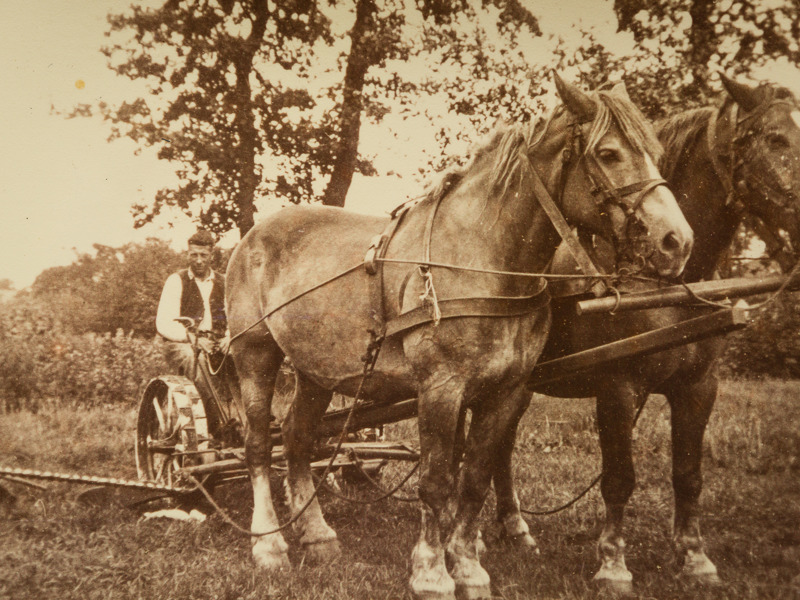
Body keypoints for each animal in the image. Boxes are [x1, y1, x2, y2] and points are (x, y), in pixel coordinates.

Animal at [225, 74, 692, 600]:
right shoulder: (441, 389)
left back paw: (318, 536)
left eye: (656, 151)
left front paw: (469, 568)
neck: (483, 261)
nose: (677, 242)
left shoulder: (507, 391)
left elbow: (475, 479)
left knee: (298, 439)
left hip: (317, 370)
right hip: (255, 355)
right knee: (259, 445)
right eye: (609, 153)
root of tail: (252, 236)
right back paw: (269, 544)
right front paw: (431, 572)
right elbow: (435, 482)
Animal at [494, 74, 800, 592]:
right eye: (777, 139)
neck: (668, 285)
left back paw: (514, 530)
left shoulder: (699, 386)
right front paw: (613, 565)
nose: (675, 243)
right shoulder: (619, 387)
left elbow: (688, 475)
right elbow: (619, 477)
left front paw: (695, 559)